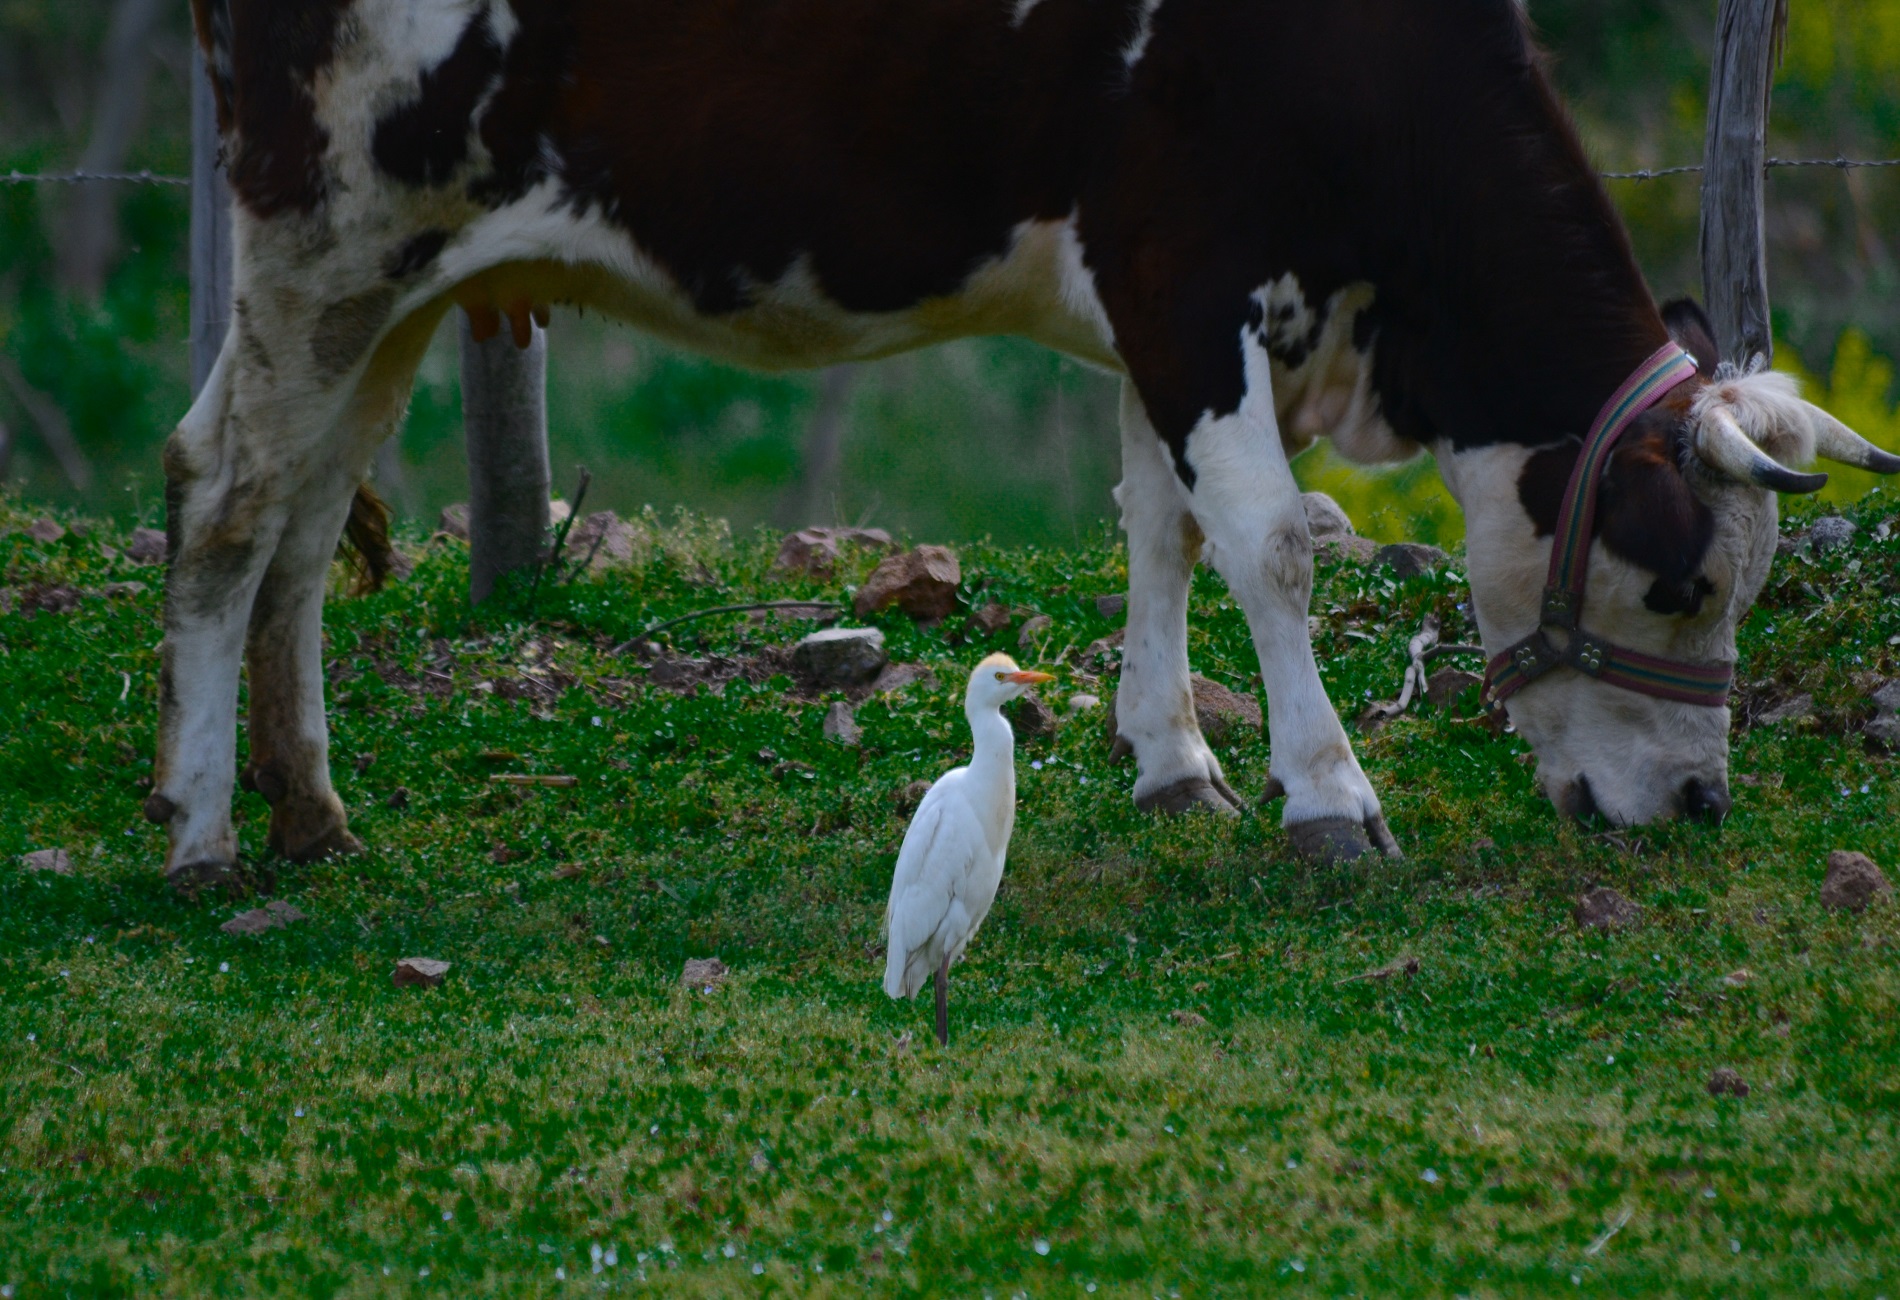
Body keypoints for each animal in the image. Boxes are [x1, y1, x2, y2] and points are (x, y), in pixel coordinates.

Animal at [152, 0, 1900, 889]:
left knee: (302, 523)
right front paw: (1327, 792)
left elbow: (1164, 526)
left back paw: (310, 806)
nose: (1704, 804)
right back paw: (201, 831)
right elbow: (1268, 541)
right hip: (322, 233)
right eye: (1682, 587)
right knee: (224, 497)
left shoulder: (1161, 300)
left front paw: (1174, 761)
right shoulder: (1185, 274)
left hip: (393, 289)